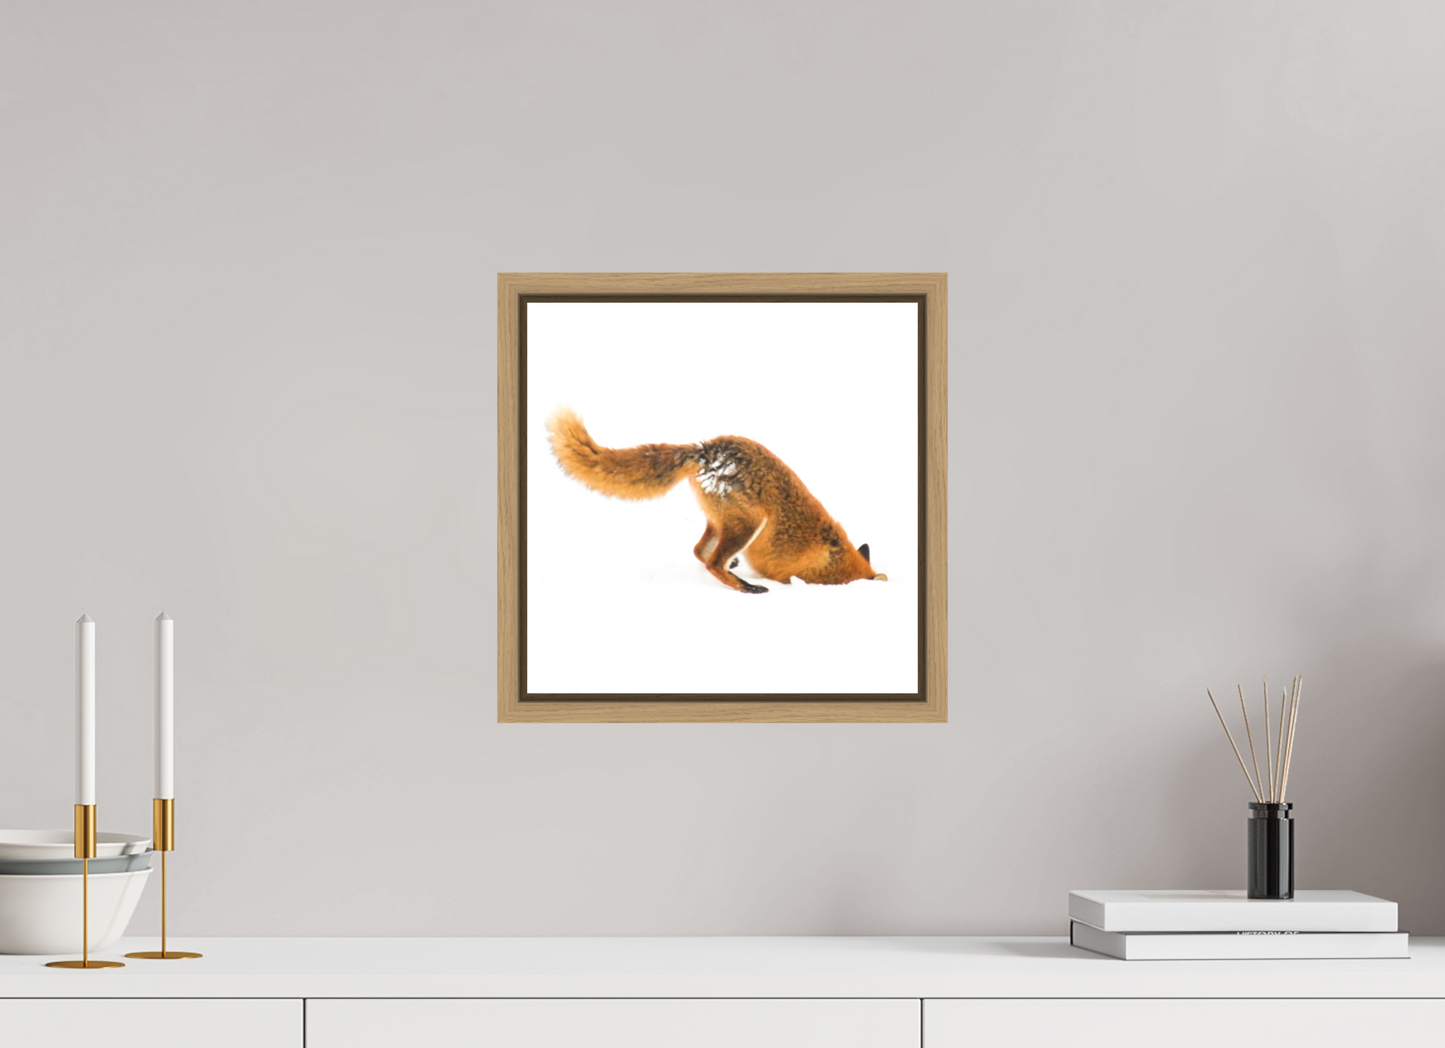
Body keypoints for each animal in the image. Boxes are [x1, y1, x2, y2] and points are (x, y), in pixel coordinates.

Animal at [545, 407, 887, 594]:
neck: (835, 559)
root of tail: (707, 449)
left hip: (719, 521)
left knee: (699, 551)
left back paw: (734, 570)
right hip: (749, 523)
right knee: (712, 562)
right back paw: (747, 588)